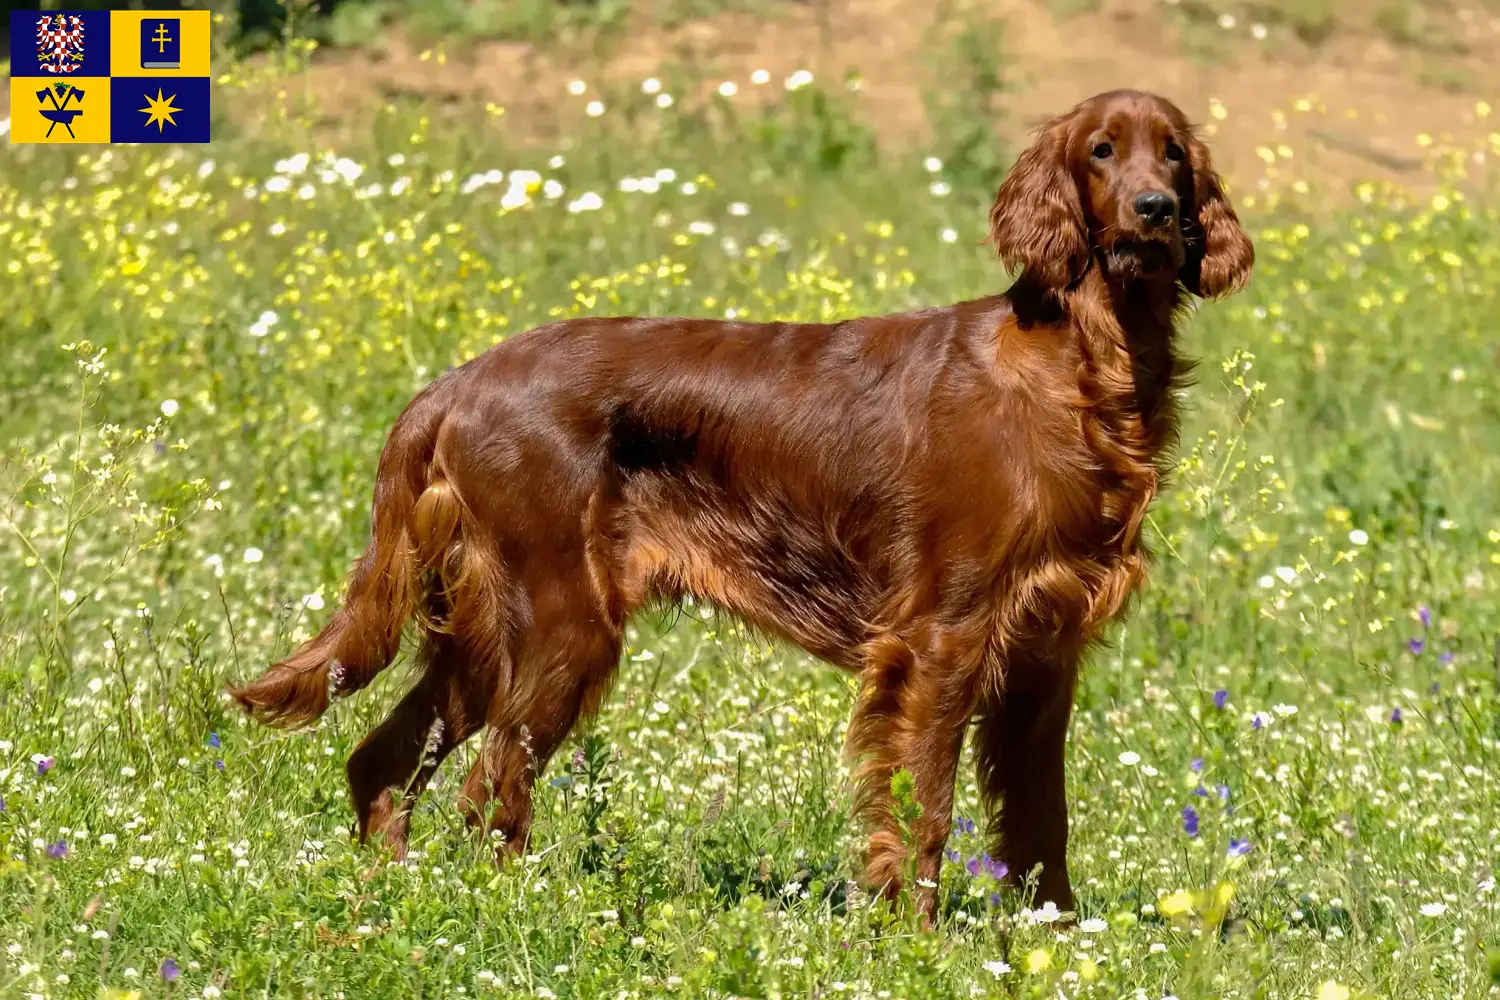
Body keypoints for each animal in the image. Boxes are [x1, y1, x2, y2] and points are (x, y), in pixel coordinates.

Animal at [234, 89, 1248, 917]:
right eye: (1102, 152)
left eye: (1173, 155)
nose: (1156, 210)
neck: (1082, 365)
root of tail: (455, 384)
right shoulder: (942, 640)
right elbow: (923, 805)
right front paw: (915, 940)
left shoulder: (1044, 650)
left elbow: (1043, 821)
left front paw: (1054, 942)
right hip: (561, 626)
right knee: (490, 795)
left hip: (480, 634)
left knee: (385, 759)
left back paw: (393, 901)